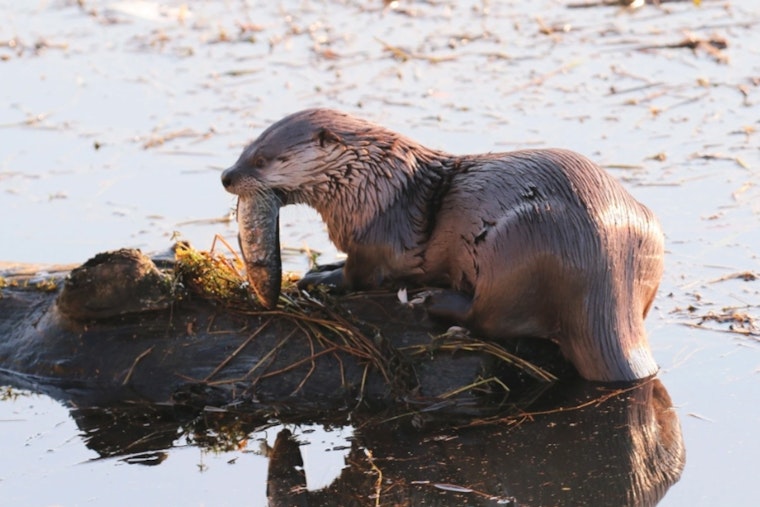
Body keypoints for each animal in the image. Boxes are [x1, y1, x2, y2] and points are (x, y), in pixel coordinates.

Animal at [221, 109, 664, 383]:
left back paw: (437, 302)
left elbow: (360, 274)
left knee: (490, 319)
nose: (226, 176)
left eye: (262, 160)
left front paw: (322, 278)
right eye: (245, 148)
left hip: (520, 246)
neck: (372, 187)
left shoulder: (375, 240)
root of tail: (607, 274)